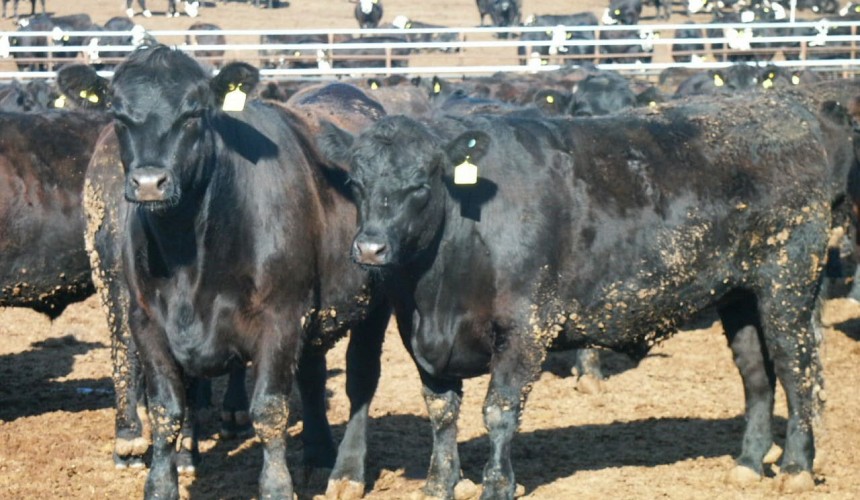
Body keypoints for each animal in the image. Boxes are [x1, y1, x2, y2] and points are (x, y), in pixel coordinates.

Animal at [59, 45, 391, 499]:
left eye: (194, 113)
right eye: (117, 114)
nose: (149, 182)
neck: (189, 257)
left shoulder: (281, 318)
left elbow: (269, 409)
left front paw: (276, 487)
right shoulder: (146, 321)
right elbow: (166, 410)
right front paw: (161, 484)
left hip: (376, 299)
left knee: (361, 378)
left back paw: (347, 473)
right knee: (312, 372)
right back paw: (319, 455)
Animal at [317, 93, 837, 498]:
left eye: (421, 185)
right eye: (356, 183)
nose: (370, 247)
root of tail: (785, 109)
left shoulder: (527, 326)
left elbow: (499, 411)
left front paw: (498, 485)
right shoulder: (422, 338)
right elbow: (442, 412)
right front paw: (439, 484)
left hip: (788, 285)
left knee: (798, 369)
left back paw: (795, 467)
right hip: (740, 295)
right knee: (756, 375)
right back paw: (748, 464)